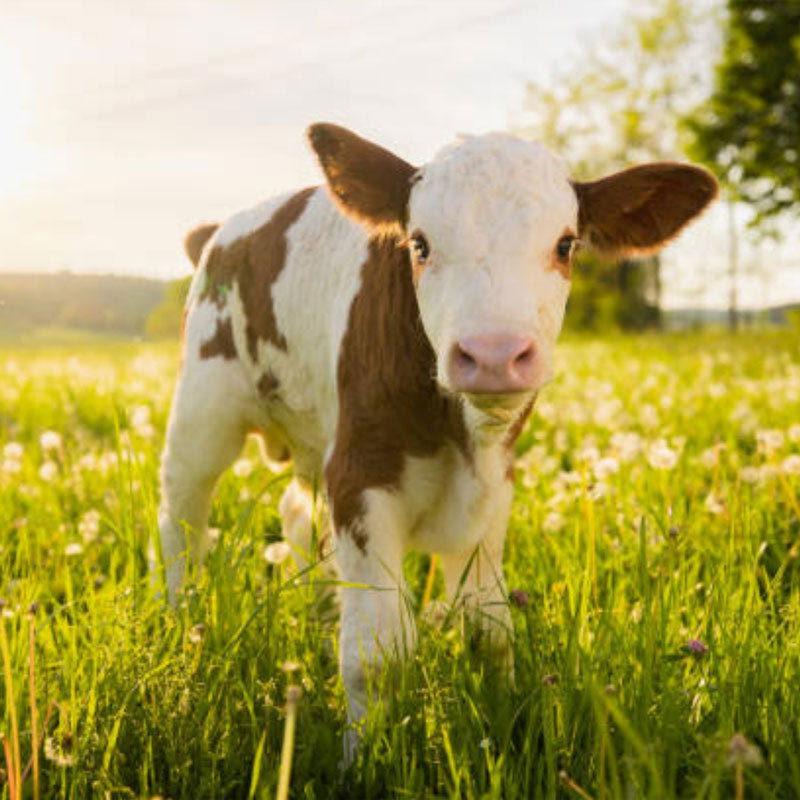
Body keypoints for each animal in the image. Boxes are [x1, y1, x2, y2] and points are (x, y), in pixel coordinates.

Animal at [158, 123, 716, 752]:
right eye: (420, 245)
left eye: (566, 244)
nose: (494, 355)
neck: (458, 434)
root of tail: (223, 231)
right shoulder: (359, 474)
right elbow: (376, 655)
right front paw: (366, 757)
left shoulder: (494, 483)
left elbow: (490, 630)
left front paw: (502, 725)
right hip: (204, 405)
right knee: (183, 515)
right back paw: (183, 621)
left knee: (298, 517)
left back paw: (321, 618)